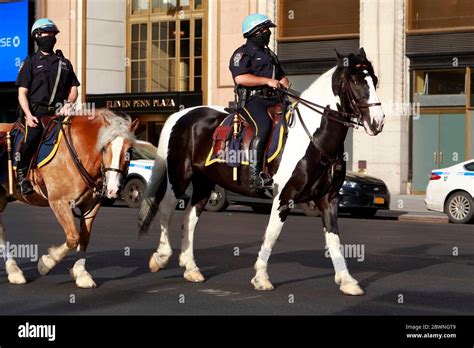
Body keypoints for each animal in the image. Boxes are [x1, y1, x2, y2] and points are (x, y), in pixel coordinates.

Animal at [0, 109, 137, 288]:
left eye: (129, 151)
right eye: (105, 148)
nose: (113, 189)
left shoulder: (91, 205)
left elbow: (84, 238)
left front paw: (81, 273)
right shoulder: (59, 202)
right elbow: (73, 238)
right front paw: (46, 263)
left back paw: (14, 271)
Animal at [138, 48, 386, 294]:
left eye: (374, 80)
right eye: (355, 80)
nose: (378, 122)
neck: (316, 139)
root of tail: (181, 115)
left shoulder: (329, 198)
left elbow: (334, 239)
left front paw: (347, 281)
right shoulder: (284, 197)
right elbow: (272, 234)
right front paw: (261, 277)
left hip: (203, 183)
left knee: (189, 219)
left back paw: (191, 268)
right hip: (179, 177)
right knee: (166, 209)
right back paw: (161, 257)